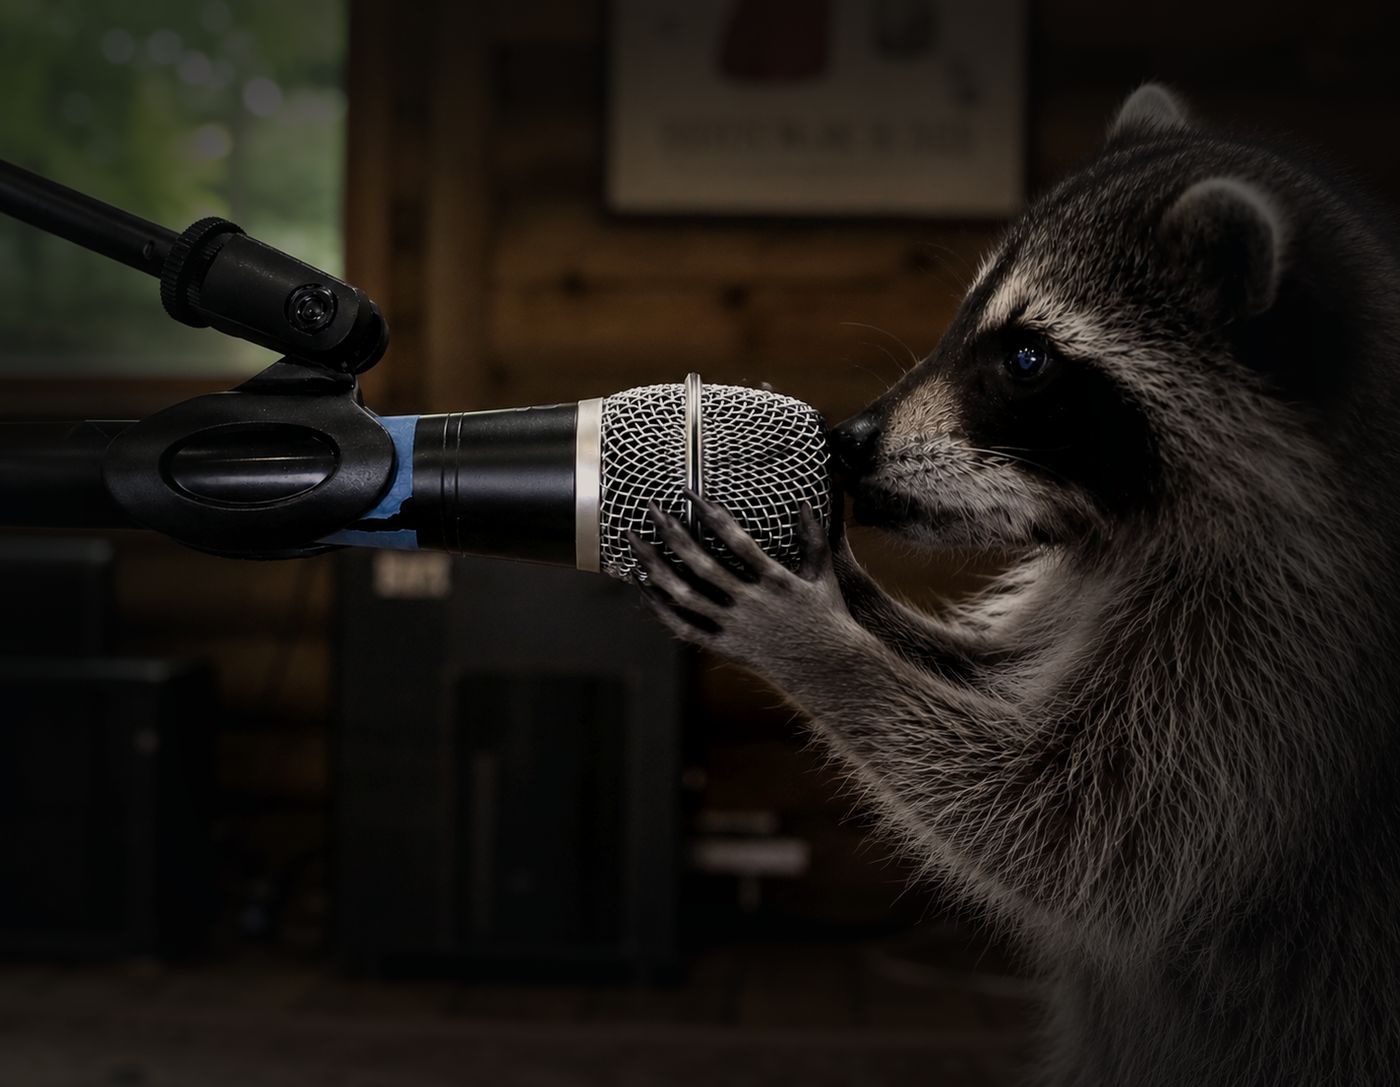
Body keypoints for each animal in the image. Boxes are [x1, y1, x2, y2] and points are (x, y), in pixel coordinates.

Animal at [631, 85, 1400, 1085]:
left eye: (1027, 358)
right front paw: (832, 578)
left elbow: (1079, 832)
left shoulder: (1288, 648)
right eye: (965, 321)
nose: (846, 443)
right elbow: (998, 684)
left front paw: (814, 645)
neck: (1121, 531)